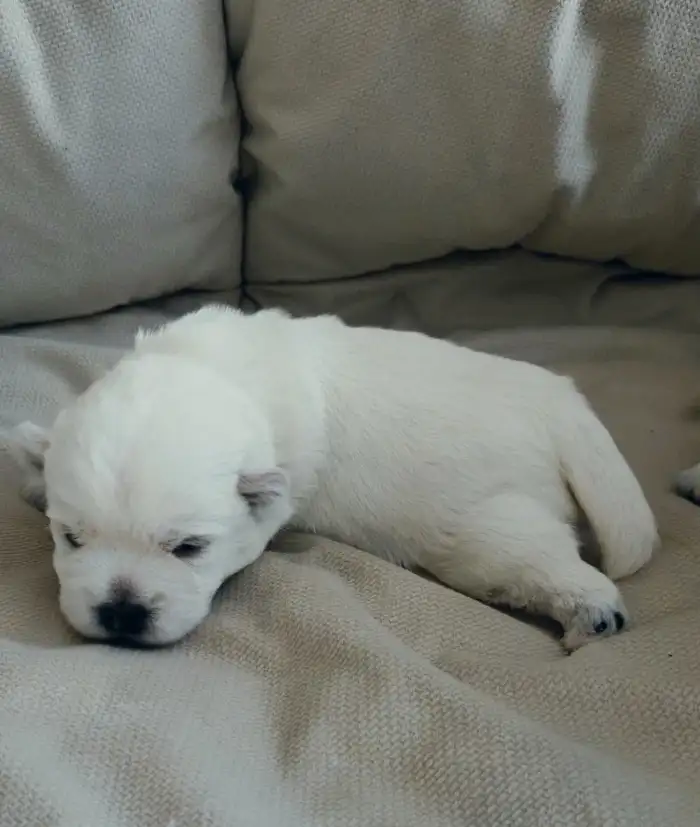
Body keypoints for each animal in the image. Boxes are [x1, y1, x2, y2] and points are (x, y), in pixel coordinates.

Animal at [7, 306, 657, 650]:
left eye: (190, 548)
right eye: (70, 539)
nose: (121, 614)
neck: (216, 372)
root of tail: (563, 406)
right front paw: (33, 458)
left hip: (488, 524)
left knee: (543, 561)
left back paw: (591, 612)